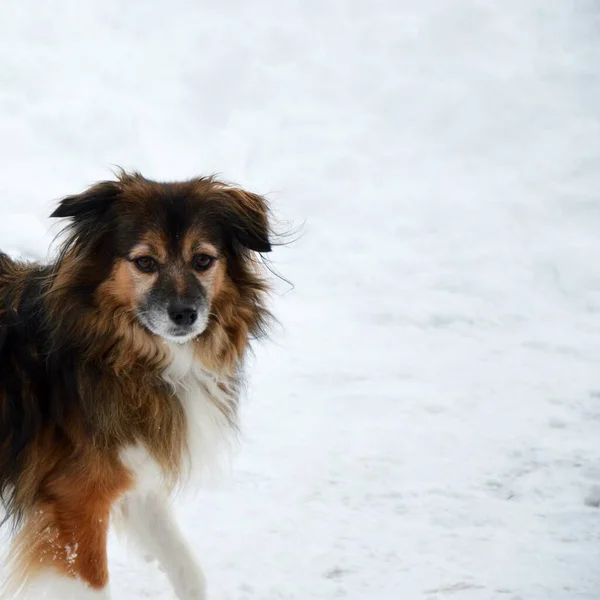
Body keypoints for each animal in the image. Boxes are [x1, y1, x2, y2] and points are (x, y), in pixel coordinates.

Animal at [0, 171, 274, 596]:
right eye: (145, 262)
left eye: (203, 260)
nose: (185, 314)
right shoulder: (75, 502)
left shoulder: (135, 473)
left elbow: (187, 570)